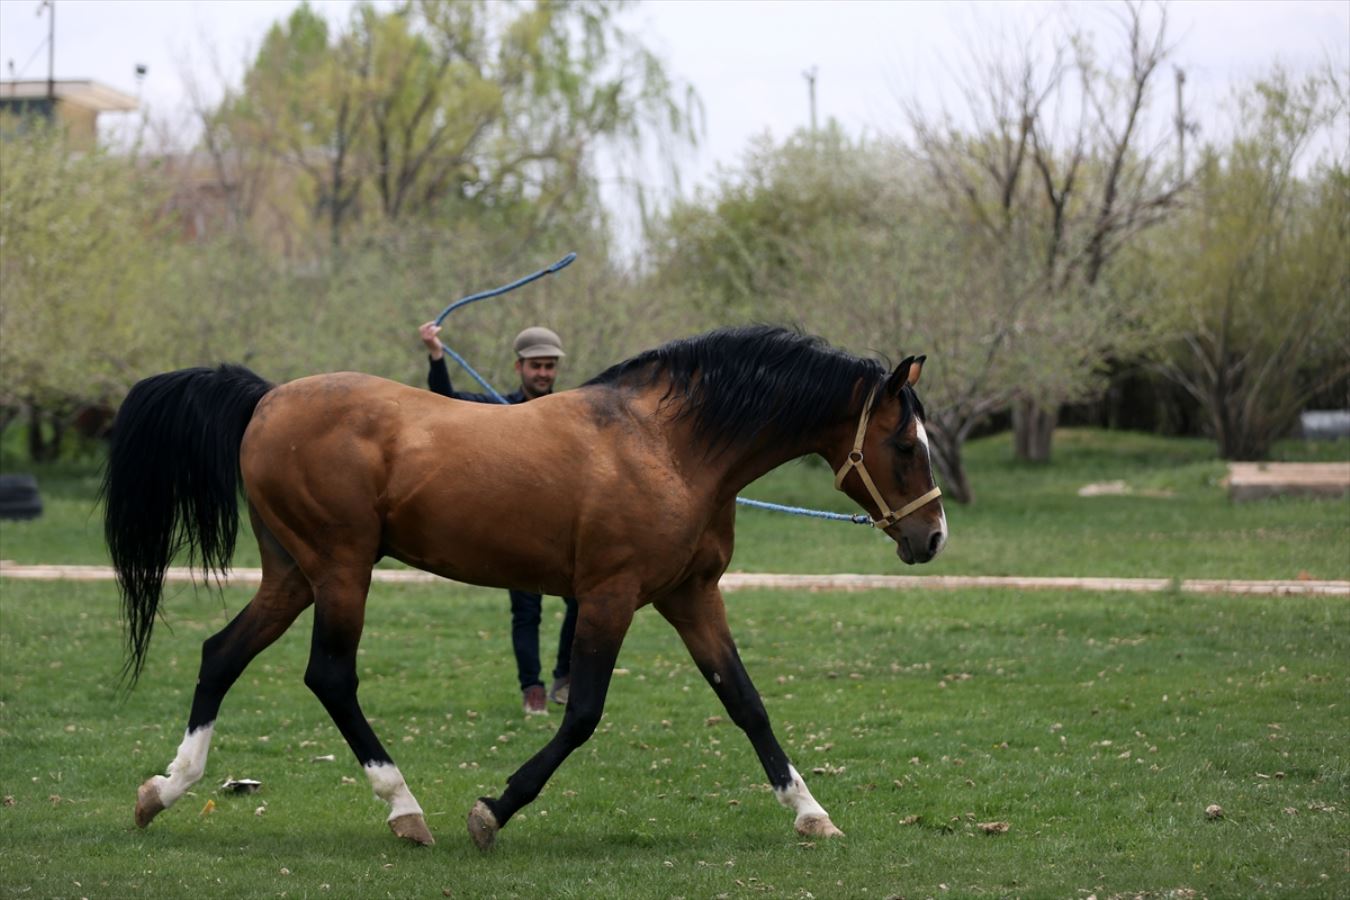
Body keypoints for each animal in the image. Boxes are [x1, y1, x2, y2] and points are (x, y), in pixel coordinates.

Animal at [102, 323, 950, 852]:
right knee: (330, 676)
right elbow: (582, 716)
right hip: (341, 569)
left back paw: (163, 791)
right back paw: (404, 808)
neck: (670, 445)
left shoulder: (691, 595)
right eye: (906, 445)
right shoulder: (609, 596)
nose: (932, 538)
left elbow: (746, 703)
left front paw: (811, 813)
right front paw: (491, 812)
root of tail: (268, 398)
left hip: (294, 575)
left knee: (221, 654)